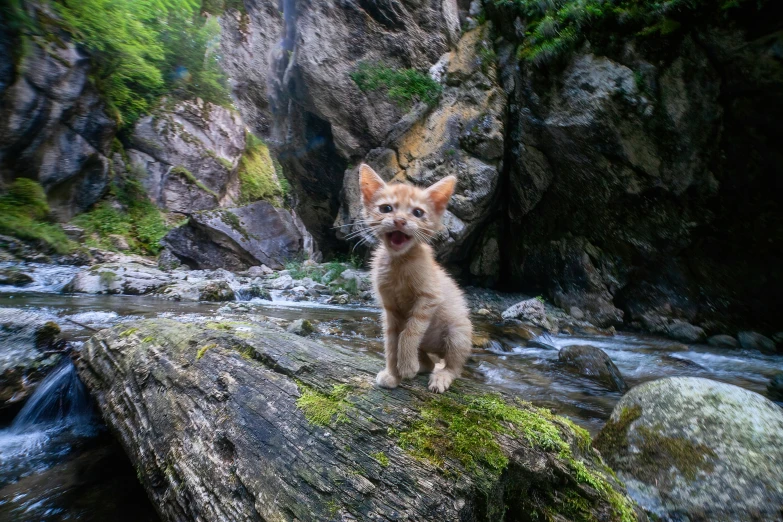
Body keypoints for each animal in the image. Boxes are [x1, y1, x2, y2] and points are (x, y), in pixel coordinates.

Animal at [360, 162, 472, 390]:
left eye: (418, 213)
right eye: (386, 209)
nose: (400, 221)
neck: (399, 262)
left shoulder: (429, 298)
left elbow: (409, 332)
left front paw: (406, 367)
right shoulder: (390, 309)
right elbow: (391, 341)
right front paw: (393, 375)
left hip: (458, 331)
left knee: (454, 366)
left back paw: (441, 375)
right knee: (430, 363)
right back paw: (420, 365)